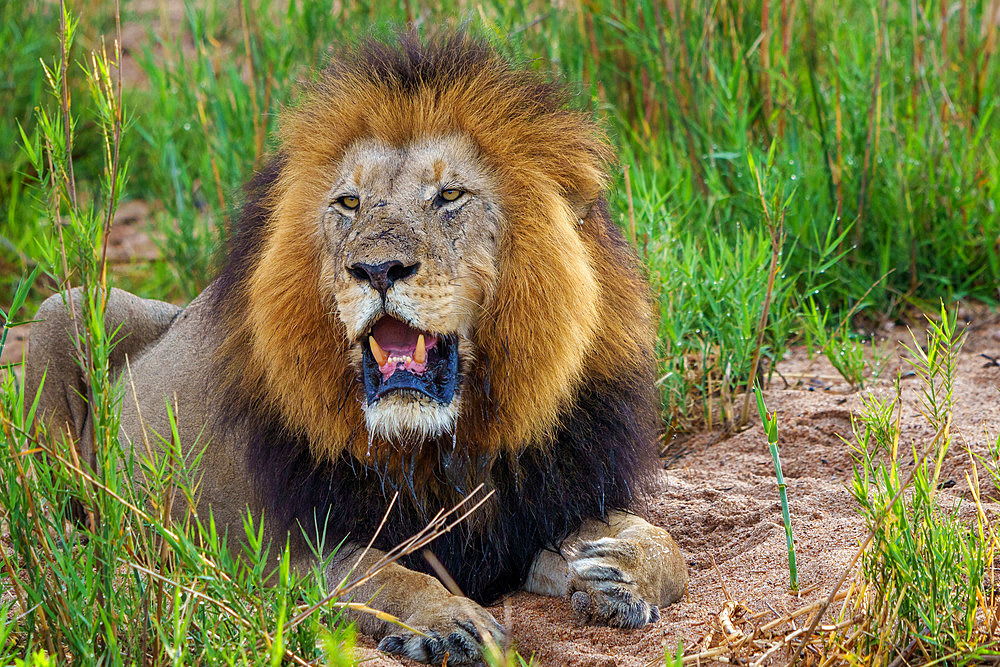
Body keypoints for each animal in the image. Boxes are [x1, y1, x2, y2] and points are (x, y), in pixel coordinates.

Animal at [27, 30, 692, 664]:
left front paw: (619, 570)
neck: (439, 447)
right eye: (349, 203)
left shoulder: (535, 507)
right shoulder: (285, 551)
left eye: (449, 196)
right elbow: (381, 576)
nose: (377, 269)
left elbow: (669, 546)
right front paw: (450, 622)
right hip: (62, 309)